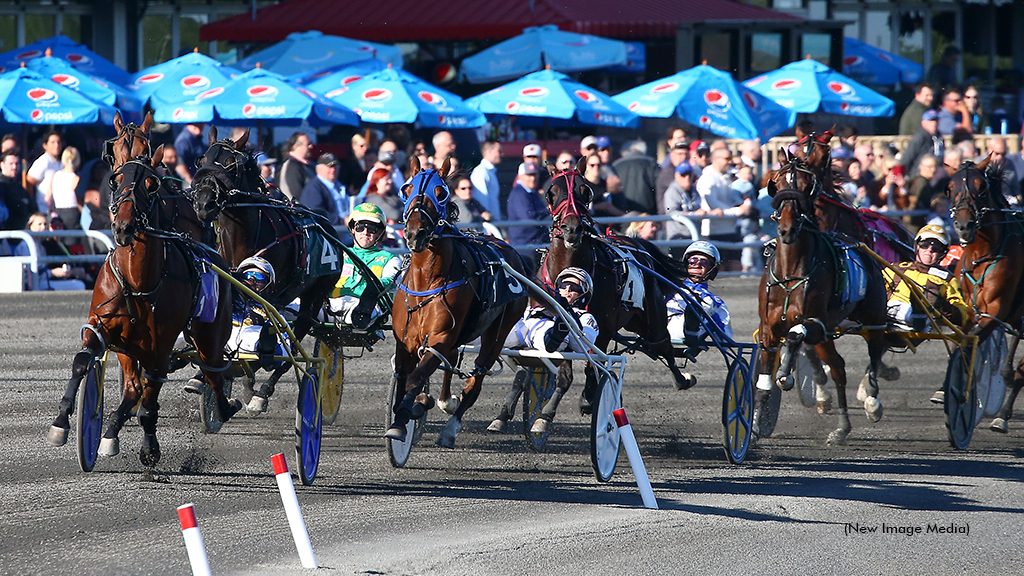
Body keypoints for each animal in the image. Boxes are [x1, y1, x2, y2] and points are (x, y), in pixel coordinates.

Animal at [47, 150, 238, 463]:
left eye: (151, 184)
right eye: (115, 180)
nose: (123, 227)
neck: (138, 281)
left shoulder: (159, 347)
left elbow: (151, 398)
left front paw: (149, 448)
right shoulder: (103, 327)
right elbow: (81, 362)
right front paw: (61, 423)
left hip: (209, 336)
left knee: (214, 373)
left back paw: (224, 407)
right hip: (129, 347)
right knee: (134, 388)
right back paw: (111, 430)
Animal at [193, 127, 346, 409]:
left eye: (231, 164)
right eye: (202, 160)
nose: (204, 204)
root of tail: (328, 227)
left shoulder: (268, 297)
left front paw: (249, 378)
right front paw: (201, 377)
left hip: (314, 296)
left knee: (295, 341)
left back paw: (262, 392)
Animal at [385, 157, 528, 448]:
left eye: (440, 193)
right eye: (407, 189)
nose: (415, 233)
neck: (427, 280)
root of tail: (509, 250)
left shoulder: (440, 337)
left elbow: (416, 378)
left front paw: (406, 414)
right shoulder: (404, 340)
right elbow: (405, 378)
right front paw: (407, 414)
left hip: (498, 333)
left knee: (475, 381)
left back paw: (449, 428)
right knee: (452, 362)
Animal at [757, 150, 892, 440]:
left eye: (808, 185)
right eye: (777, 182)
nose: (786, 229)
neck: (790, 273)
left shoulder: (815, 323)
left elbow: (795, 335)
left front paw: (785, 372)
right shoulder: (768, 328)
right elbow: (764, 379)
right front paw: (755, 422)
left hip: (872, 318)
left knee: (875, 350)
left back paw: (871, 399)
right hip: (828, 335)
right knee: (838, 367)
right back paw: (842, 427)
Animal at [946, 156, 1024, 430]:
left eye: (981, 188)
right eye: (949, 188)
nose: (964, 225)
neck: (982, 256)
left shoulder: (995, 311)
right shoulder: (970, 311)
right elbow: (962, 340)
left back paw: (1003, 411)